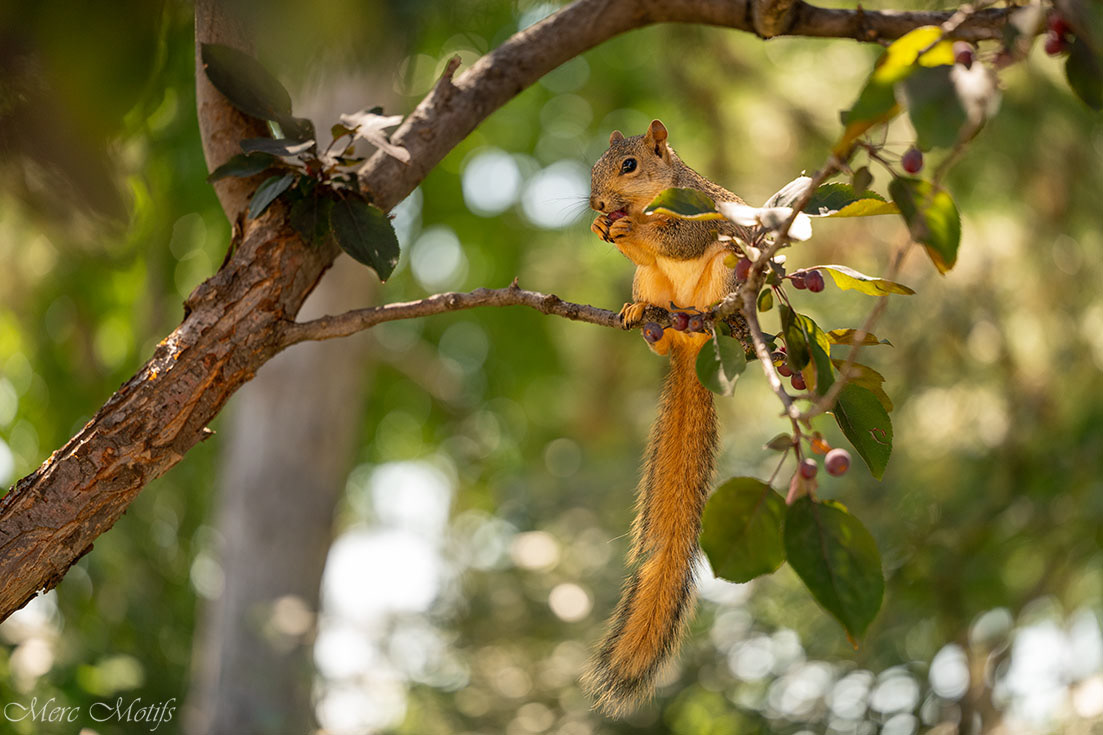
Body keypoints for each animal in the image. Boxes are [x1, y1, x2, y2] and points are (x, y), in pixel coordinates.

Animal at [584, 119, 747, 717]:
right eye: (595, 167)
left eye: (629, 165)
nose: (598, 202)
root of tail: (688, 346)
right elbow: (641, 253)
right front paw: (602, 225)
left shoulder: (700, 214)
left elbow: (676, 238)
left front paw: (631, 225)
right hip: (650, 287)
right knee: (650, 300)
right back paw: (642, 316)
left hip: (727, 271)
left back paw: (711, 318)